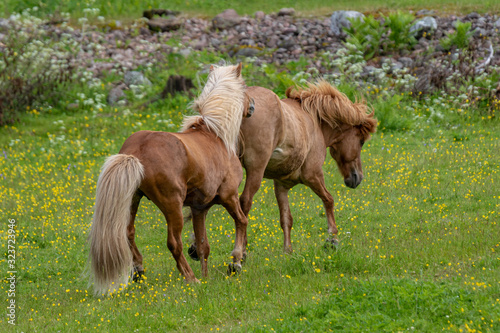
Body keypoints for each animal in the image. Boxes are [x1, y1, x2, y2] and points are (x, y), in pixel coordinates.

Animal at [88, 62, 250, 294]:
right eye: (245, 88)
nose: (251, 107)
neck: (216, 135)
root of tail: (135, 152)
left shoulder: (199, 208)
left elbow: (203, 245)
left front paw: (207, 277)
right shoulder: (229, 197)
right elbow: (242, 222)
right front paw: (235, 263)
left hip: (132, 200)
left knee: (128, 233)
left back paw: (139, 270)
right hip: (172, 206)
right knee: (174, 243)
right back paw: (191, 278)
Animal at [237, 80, 376, 252]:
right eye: (361, 142)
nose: (358, 177)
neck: (315, 121)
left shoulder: (281, 185)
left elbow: (286, 219)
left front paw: (288, 251)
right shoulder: (313, 175)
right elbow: (329, 200)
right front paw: (333, 239)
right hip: (255, 171)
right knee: (244, 202)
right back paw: (240, 252)